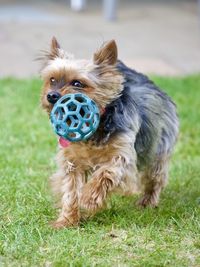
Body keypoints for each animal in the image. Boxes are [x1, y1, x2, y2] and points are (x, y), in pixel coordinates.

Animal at [39, 37, 178, 229]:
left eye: (77, 83)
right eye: (52, 80)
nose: (51, 95)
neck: (94, 129)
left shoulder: (121, 156)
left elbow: (106, 174)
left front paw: (89, 198)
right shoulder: (71, 160)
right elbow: (70, 189)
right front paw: (66, 220)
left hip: (158, 146)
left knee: (156, 176)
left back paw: (148, 201)